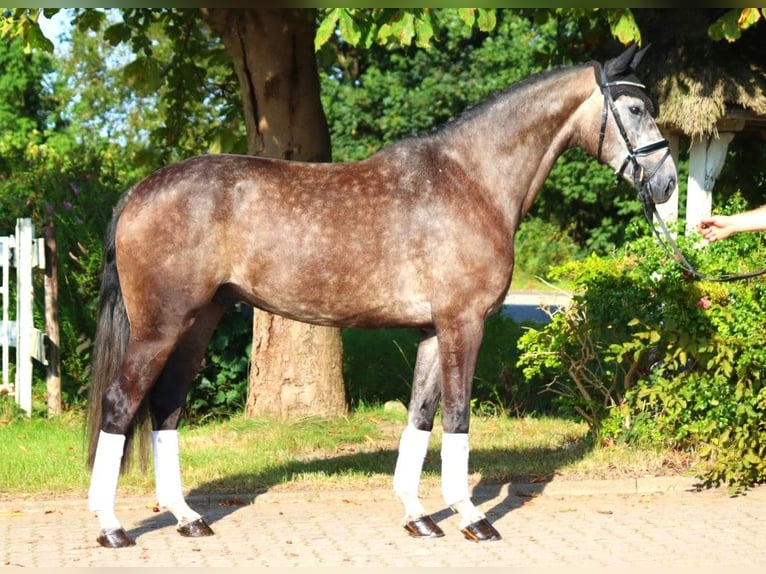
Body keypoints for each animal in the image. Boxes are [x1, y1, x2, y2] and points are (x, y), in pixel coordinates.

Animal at [84, 45, 680, 548]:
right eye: (633, 107)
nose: (668, 182)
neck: (472, 180)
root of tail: (137, 192)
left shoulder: (433, 332)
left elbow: (420, 417)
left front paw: (419, 517)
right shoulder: (464, 324)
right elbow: (457, 416)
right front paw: (472, 518)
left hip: (198, 322)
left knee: (166, 408)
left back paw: (188, 518)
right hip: (160, 328)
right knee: (121, 405)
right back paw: (112, 527)